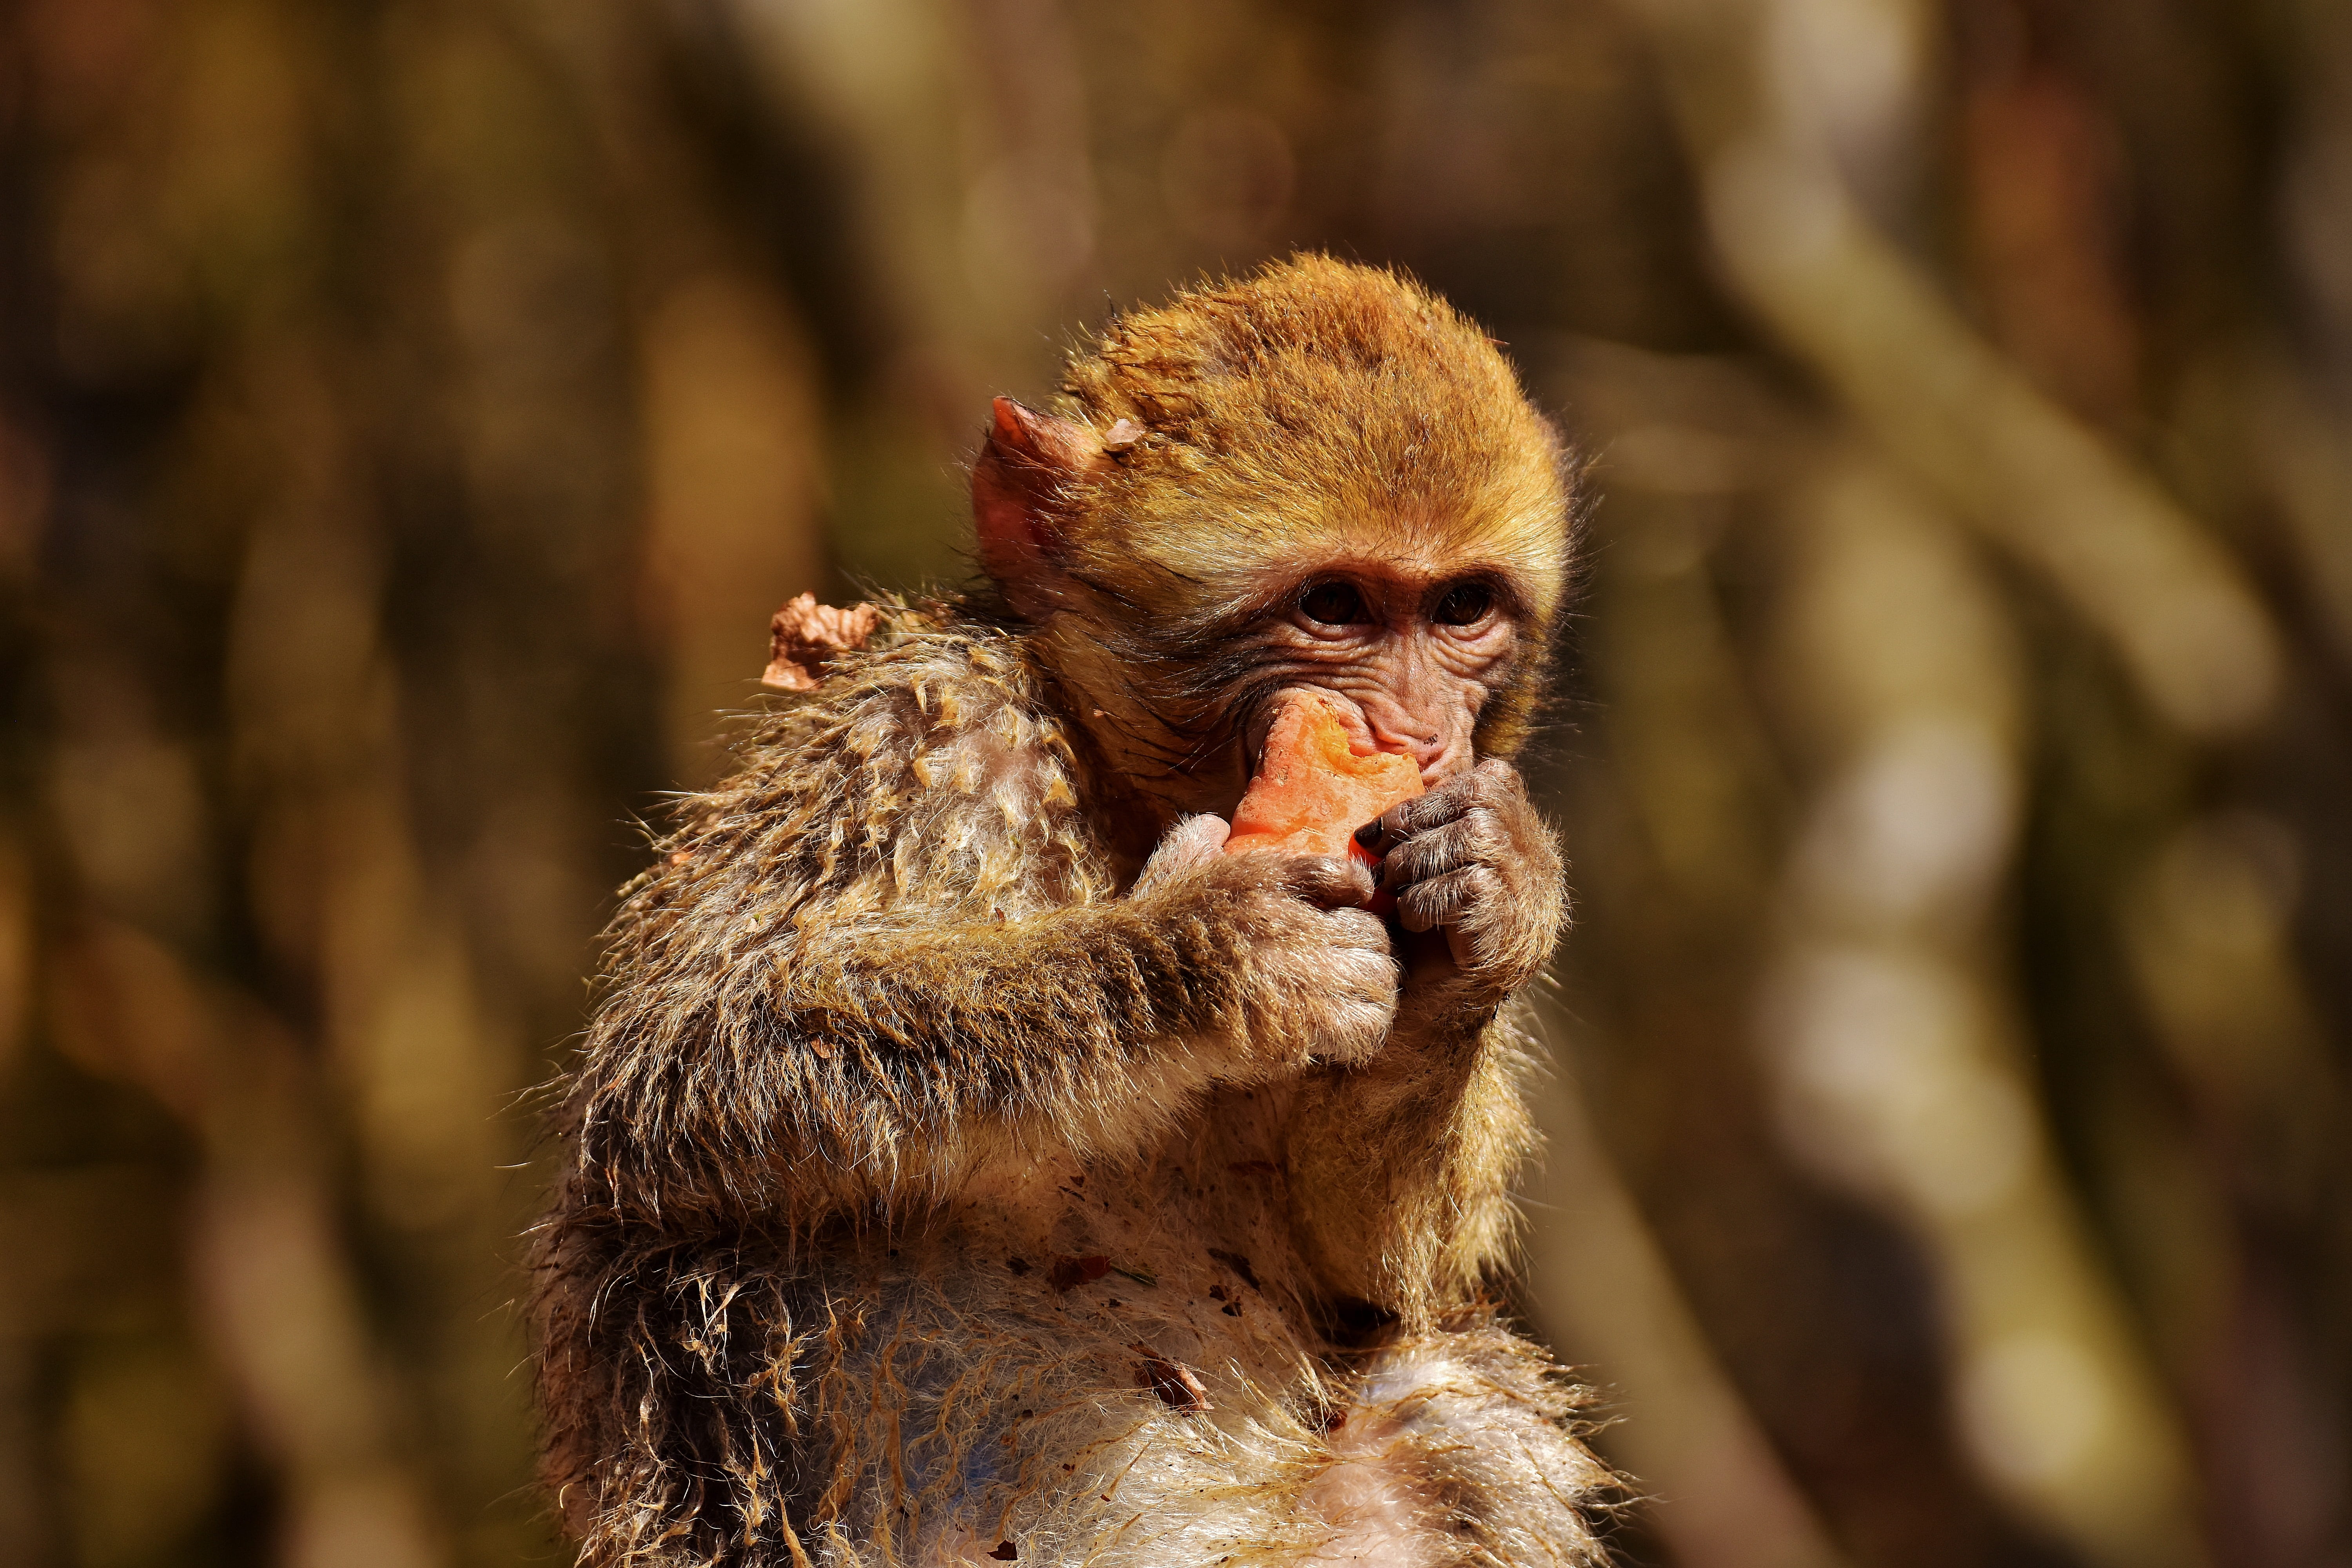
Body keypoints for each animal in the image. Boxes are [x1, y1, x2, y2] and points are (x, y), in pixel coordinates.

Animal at [532, 255, 1615, 1567]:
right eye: (1335, 606)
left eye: (1460, 607)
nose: (1412, 736)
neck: (1121, 789)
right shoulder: (928, 728)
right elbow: (690, 1066)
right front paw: (1210, 953)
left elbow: (1369, 1273)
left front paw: (1491, 905)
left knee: (1451, 1399)